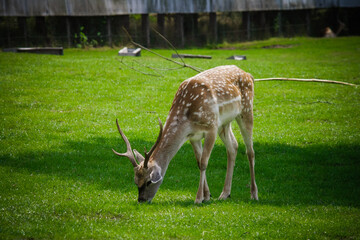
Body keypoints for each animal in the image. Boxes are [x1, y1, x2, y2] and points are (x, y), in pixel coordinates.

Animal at [114, 64, 258, 203]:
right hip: (224, 123)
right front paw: (207, 196)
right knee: (233, 146)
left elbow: (204, 163)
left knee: (250, 151)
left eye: (149, 181)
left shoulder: (211, 127)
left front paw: (198, 198)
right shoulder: (193, 136)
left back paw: (254, 194)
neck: (187, 117)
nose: (141, 200)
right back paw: (224, 194)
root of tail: (249, 75)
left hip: (246, 109)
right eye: (135, 181)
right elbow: (199, 162)